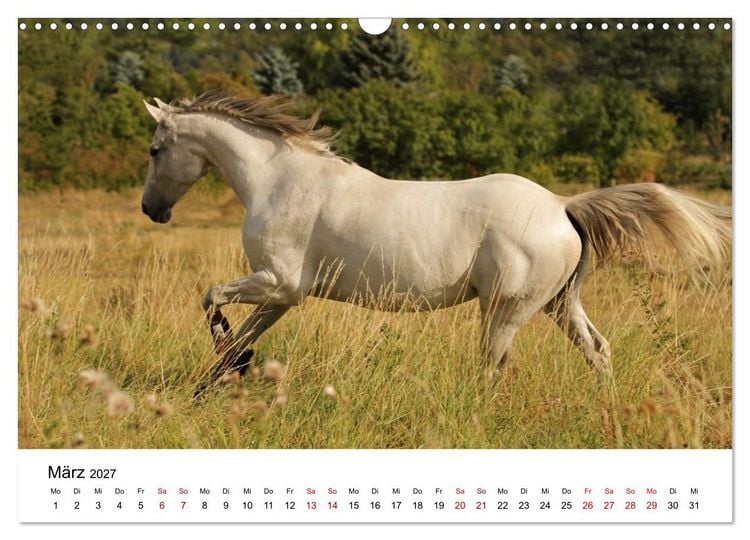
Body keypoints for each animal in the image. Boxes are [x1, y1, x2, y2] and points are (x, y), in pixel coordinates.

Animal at [140, 92, 731, 395]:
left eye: (154, 150)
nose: (152, 209)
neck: (280, 178)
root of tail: (563, 207)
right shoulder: (280, 297)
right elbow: (240, 335)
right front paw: (221, 378)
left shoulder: (279, 285)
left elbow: (212, 299)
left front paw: (228, 369)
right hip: (560, 303)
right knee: (598, 351)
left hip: (506, 310)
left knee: (492, 367)